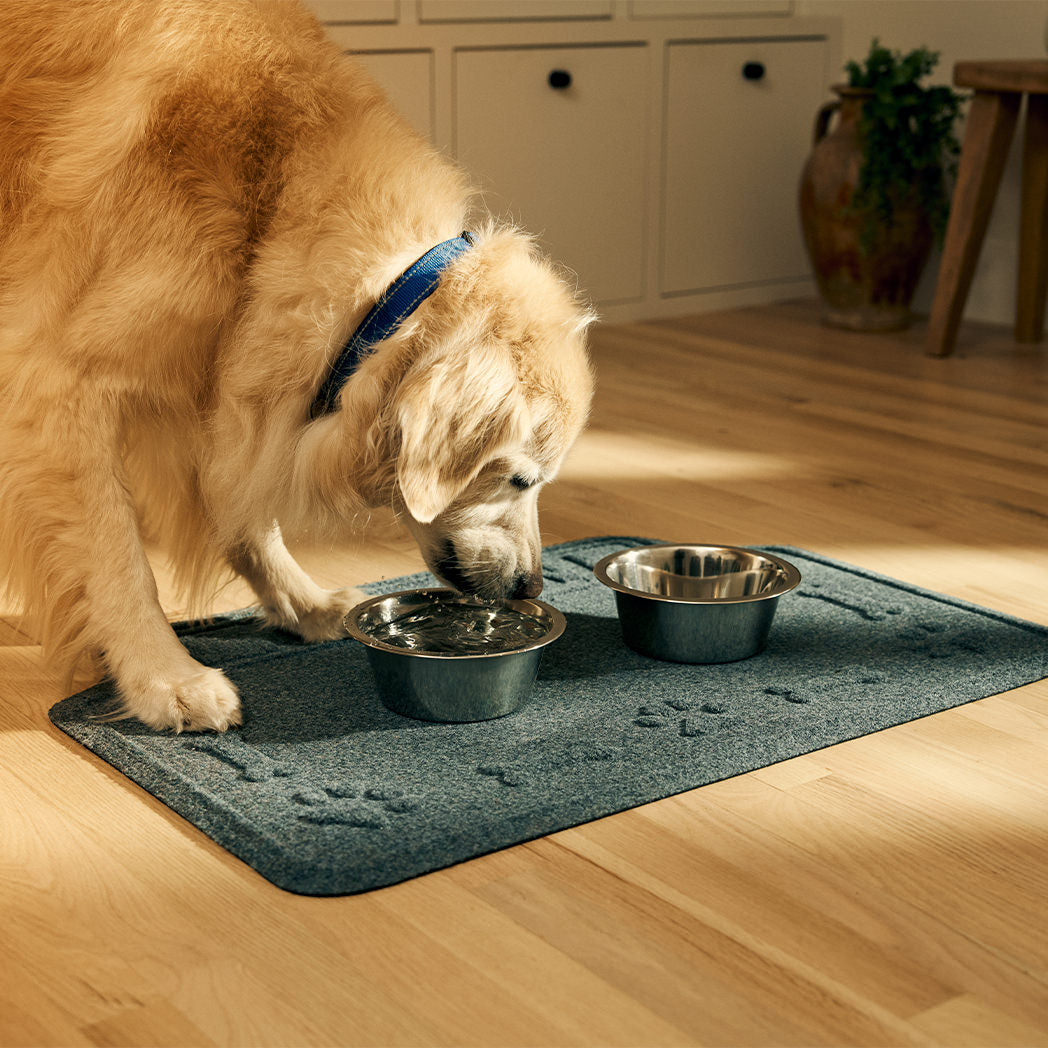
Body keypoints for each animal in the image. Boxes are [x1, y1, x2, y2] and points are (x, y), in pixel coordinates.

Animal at [0, 2, 591, 737]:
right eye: (518, 479)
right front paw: (165, 677)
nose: (528, 587)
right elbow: (118, 556)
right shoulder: (62, 385)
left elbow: (243, 507)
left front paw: (301, 602)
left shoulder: (229, 378)